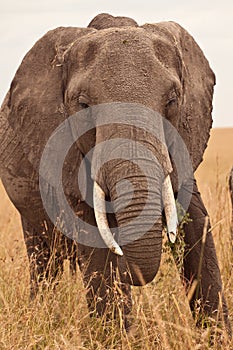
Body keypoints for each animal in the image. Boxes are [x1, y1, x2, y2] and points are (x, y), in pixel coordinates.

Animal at [0, 13, 231, 334]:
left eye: (172, 101)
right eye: (83, 105)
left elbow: (197, 224)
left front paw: (216, 336)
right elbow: (96, 244)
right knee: (44, 258)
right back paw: (40, 311)